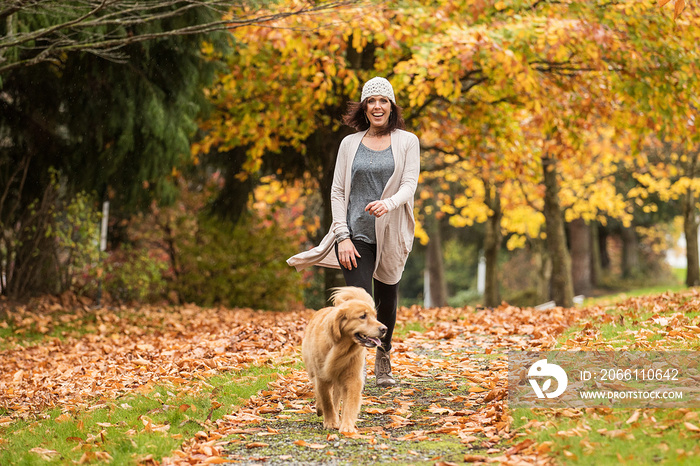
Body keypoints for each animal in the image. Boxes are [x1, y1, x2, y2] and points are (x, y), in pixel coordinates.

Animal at [302, 286, 388, 436]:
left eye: (374, 316)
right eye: (362, 316)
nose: (384, 329)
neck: (340, 349)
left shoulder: (352, 378)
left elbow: (349, 403)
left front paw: (347, 426)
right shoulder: (322, 376)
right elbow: (326, 400)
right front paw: (330, 422)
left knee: (336, 398)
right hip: (314, 371)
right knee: (320, 394)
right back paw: (321, 410)